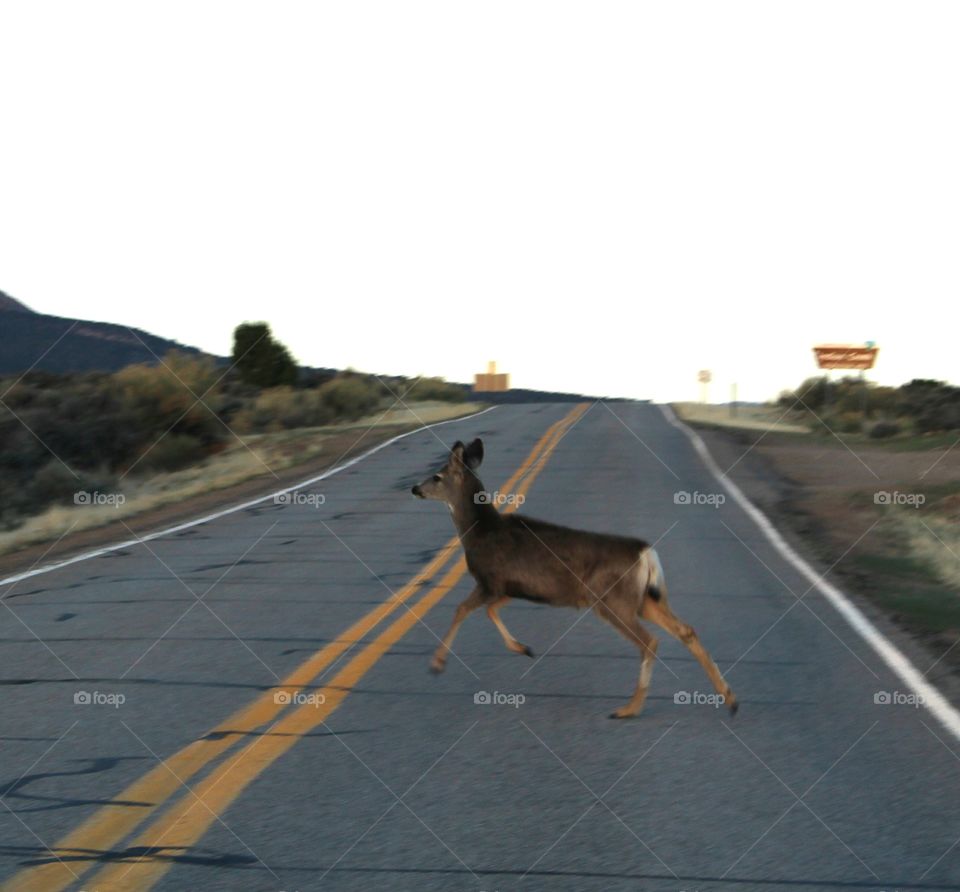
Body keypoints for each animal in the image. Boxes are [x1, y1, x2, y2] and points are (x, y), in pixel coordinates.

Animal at [411, 438, 738, 719]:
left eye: (437, 476)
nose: (415, 488)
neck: (478, 531)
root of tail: (646, 553)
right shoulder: (511, 589)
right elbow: (489, 611)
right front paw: (524, 648)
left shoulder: (490, 581)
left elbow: (462, 609)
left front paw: (437, 664)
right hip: (645, 599)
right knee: (685, 630)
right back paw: (730, 699)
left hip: (610, 599)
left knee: (650, 641)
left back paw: (629, 709)